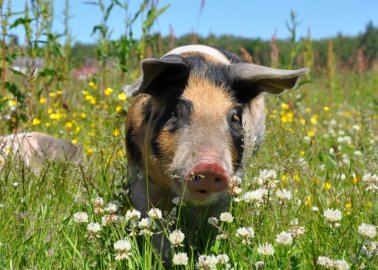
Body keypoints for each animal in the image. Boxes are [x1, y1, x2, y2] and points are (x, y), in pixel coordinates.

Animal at [125, 45, 308, 256]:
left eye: (235, 117)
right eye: (175, 113)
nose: (209, 166)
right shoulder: (138, 176)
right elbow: (152, 223)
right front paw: (163, 257)